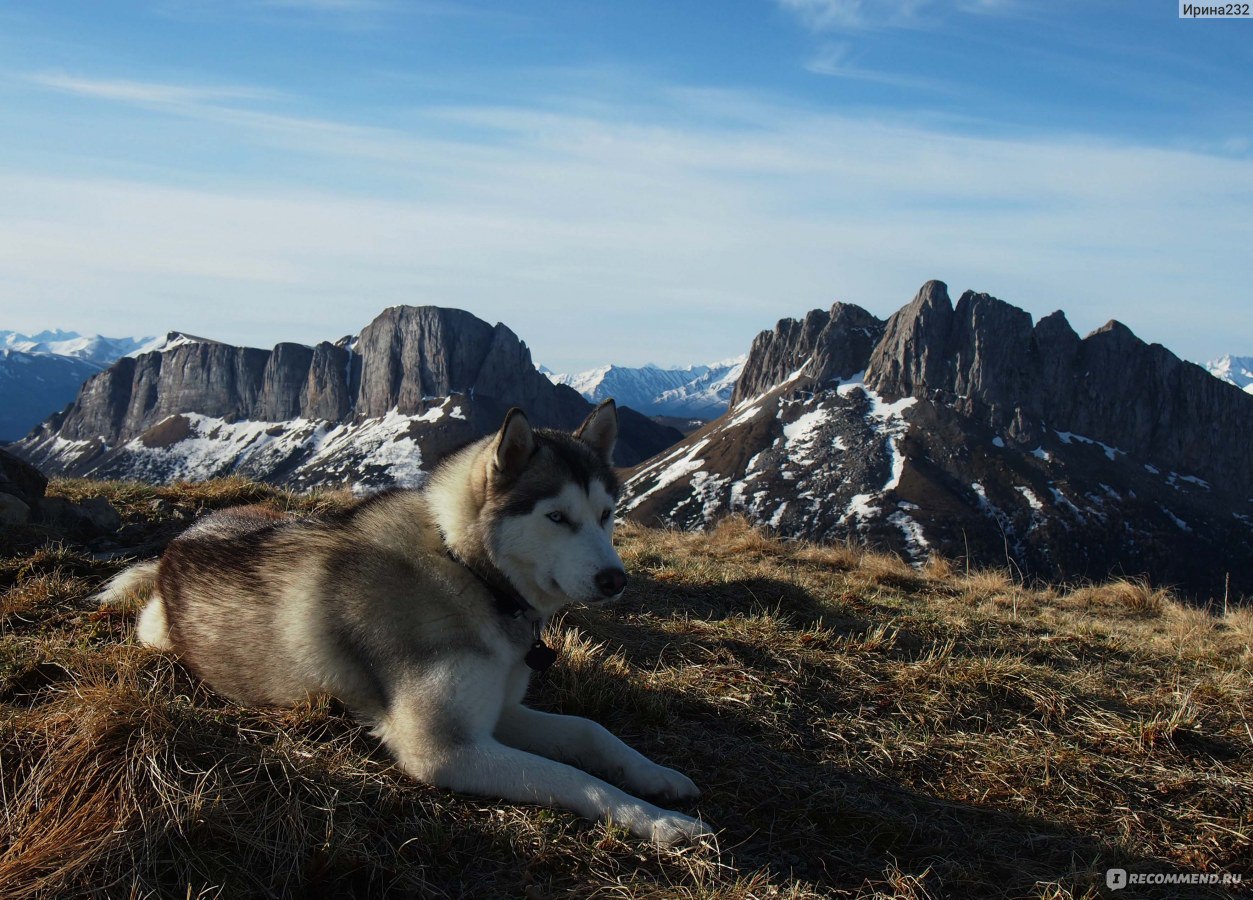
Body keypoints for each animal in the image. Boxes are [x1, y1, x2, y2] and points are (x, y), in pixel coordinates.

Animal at [102, 401, 711, 847]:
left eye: (606, 514)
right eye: (556, 517)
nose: (615, 580)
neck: (469, 572)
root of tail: (183, 537)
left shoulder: (499, 713)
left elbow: (591, 731)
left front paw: (657, 778)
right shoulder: (443, 748)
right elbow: (574, 778)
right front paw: (657, 821)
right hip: (156, 633)